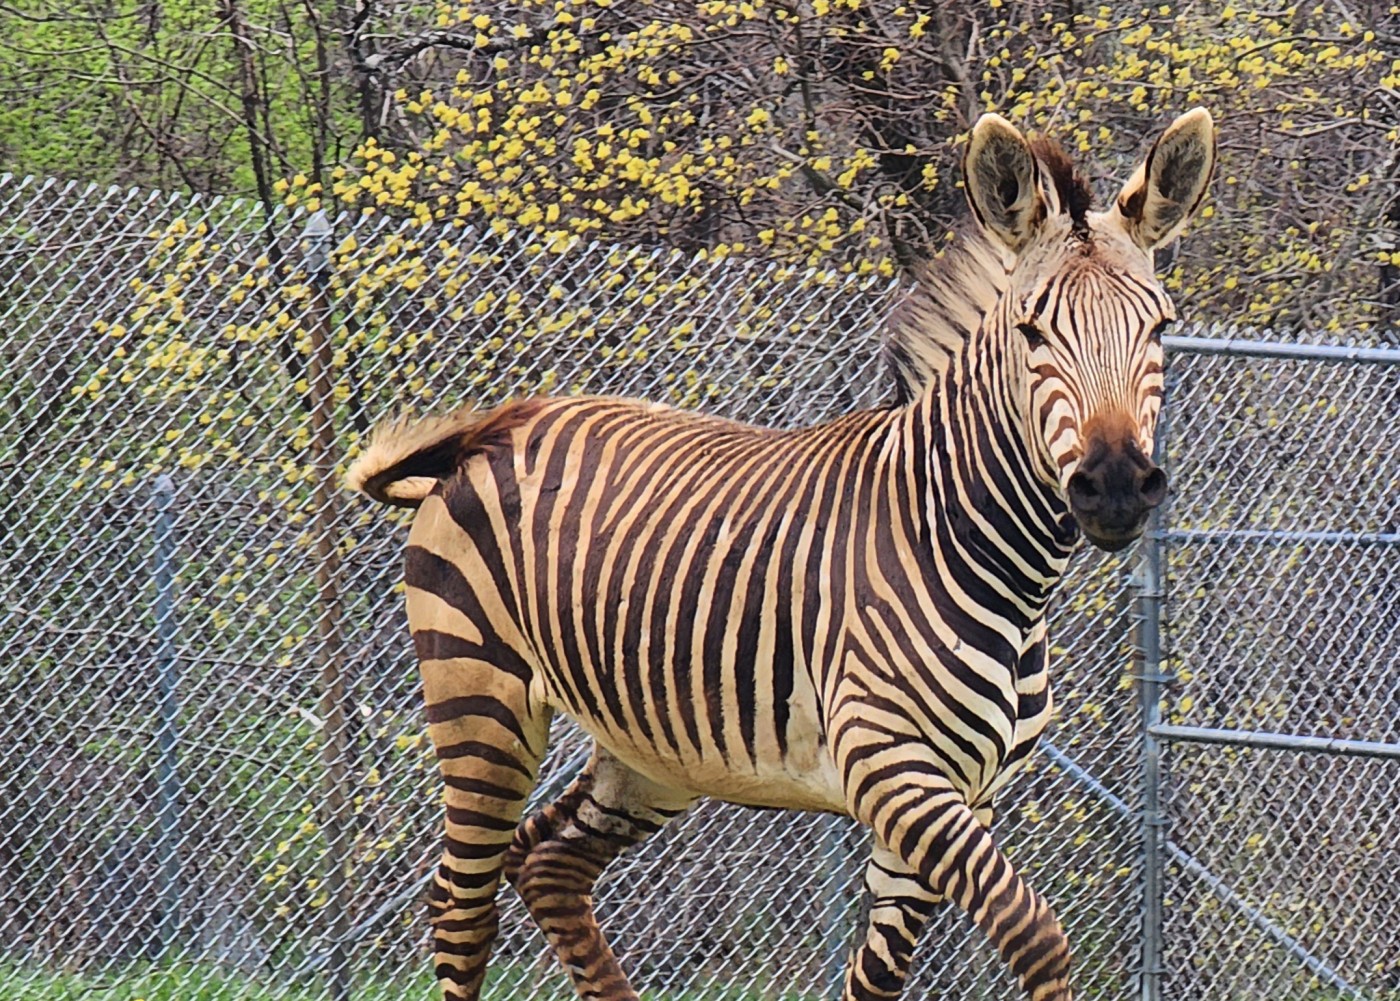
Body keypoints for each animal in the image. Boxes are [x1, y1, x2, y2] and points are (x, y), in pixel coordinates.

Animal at [344, 109, 1209, 1001]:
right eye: (1032, 331)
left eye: (1159, 326)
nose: (1115, 486)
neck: (978, 552)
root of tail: (492, 429)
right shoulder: (894, 767)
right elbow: (1036, 933)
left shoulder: (959, 793)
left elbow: (877, 978)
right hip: (479, 702)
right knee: (460, 901)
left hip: (648, 747)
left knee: (547, 860)